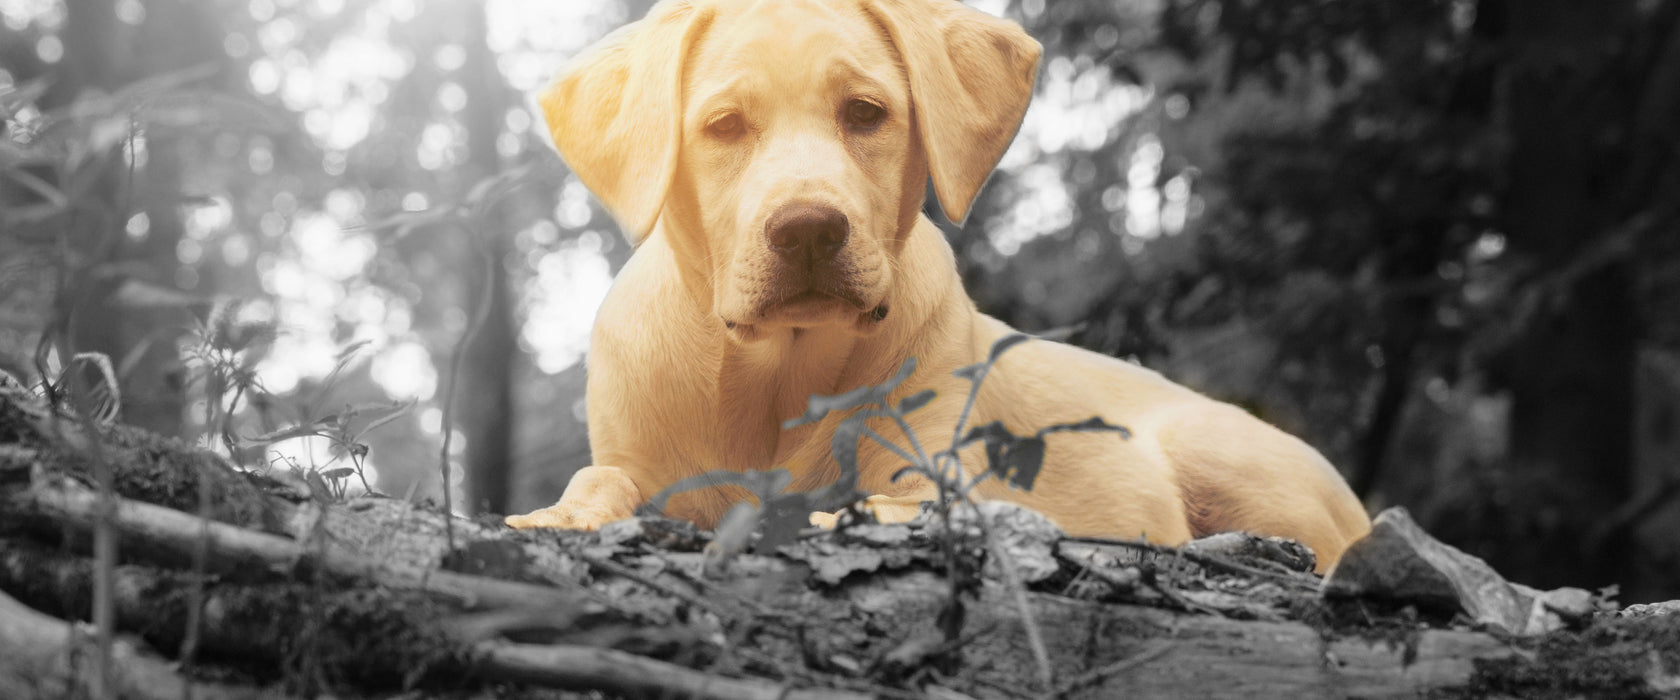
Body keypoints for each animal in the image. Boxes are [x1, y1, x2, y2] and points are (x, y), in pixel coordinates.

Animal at [503, 0, 1370, 570]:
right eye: (723, 126)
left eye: (865, 112)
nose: (808, 229)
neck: (780, 373)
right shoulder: (639, 455)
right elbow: (601, 477)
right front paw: (558, 512)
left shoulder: (931, 467)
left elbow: (899, 502)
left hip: (1224, 454)